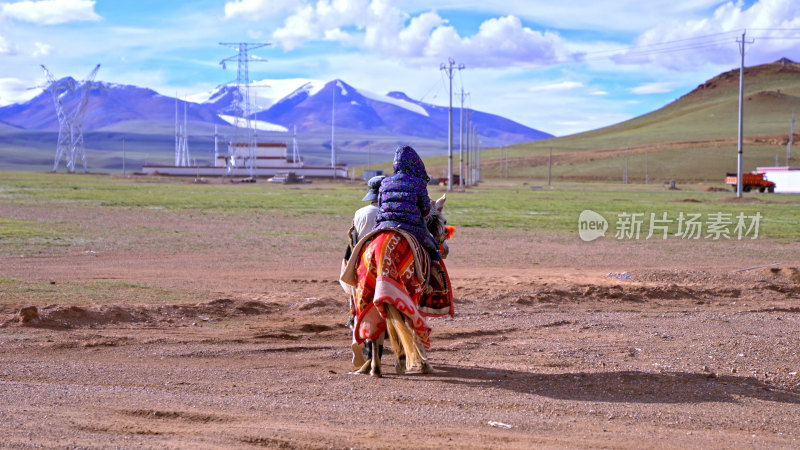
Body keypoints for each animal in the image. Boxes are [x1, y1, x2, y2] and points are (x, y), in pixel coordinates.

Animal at [338, 193, 454, 376]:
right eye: (444, 220)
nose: (446, 250)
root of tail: (382, 250)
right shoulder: (417, 298)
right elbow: (414, 326)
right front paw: (422, 362)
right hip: (407, 291)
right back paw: (400, 362)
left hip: (366, 290)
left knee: (373, 327)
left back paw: (374, 367)